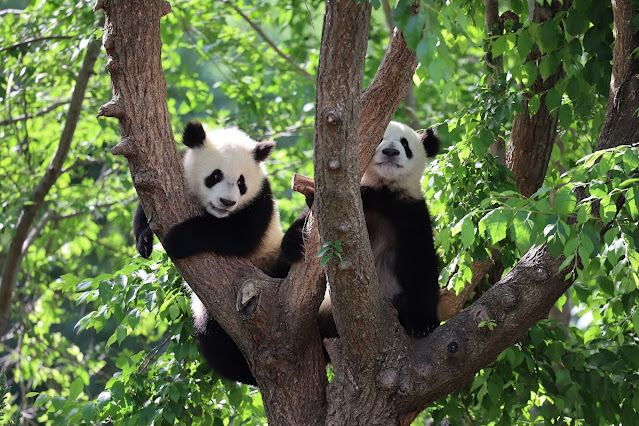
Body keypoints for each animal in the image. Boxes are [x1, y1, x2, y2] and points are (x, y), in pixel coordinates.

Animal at [134, 120, 304, 386]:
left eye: (242, 183)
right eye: (215, 176)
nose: (227, 202)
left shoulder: (260, 201)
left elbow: (236, 235)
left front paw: (176, 239)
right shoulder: (178, 171)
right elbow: (147, 203)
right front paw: (144, 239)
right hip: (207, 310)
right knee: (213, 340)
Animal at [312, 120, 442, 340]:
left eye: (405, 144)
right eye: (379, 139)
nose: (390, 151)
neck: (384, 191)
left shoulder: (412, 211)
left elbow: (421, 263)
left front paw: (423, 324)